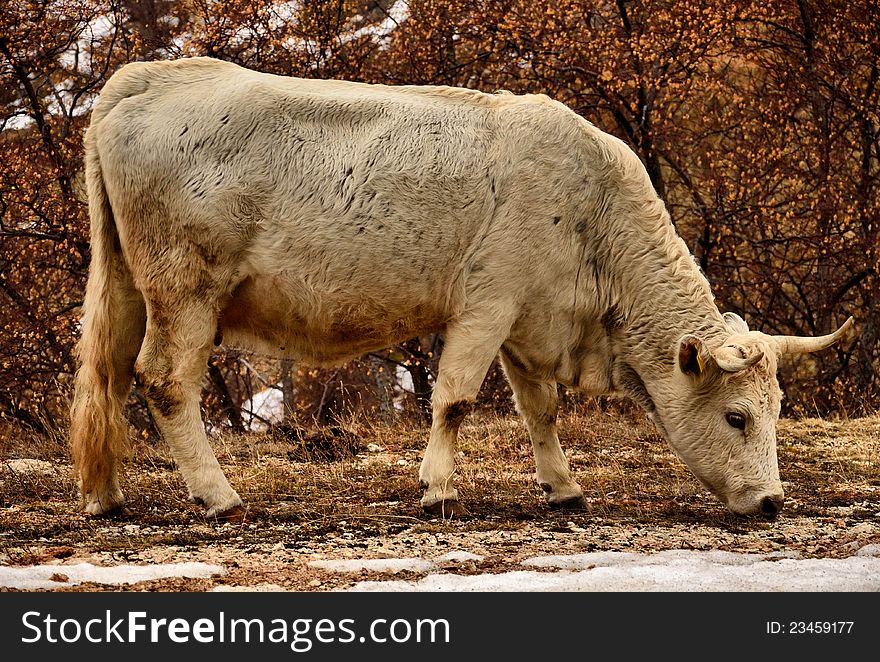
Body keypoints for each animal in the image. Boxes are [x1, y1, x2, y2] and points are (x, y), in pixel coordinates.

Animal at [70, 57, 852, 520]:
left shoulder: (529, 321)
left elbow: (541, 410)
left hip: (130, 286)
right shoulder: (488, 302)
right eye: (736, 418)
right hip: (185, 290)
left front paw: (563, 487)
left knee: (108, 376)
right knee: (164, 381)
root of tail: (145, 78)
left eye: (777, 412)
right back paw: (220, 497)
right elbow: (454, 400)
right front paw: (437, 487)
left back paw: (104, 497)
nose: (773, 502)